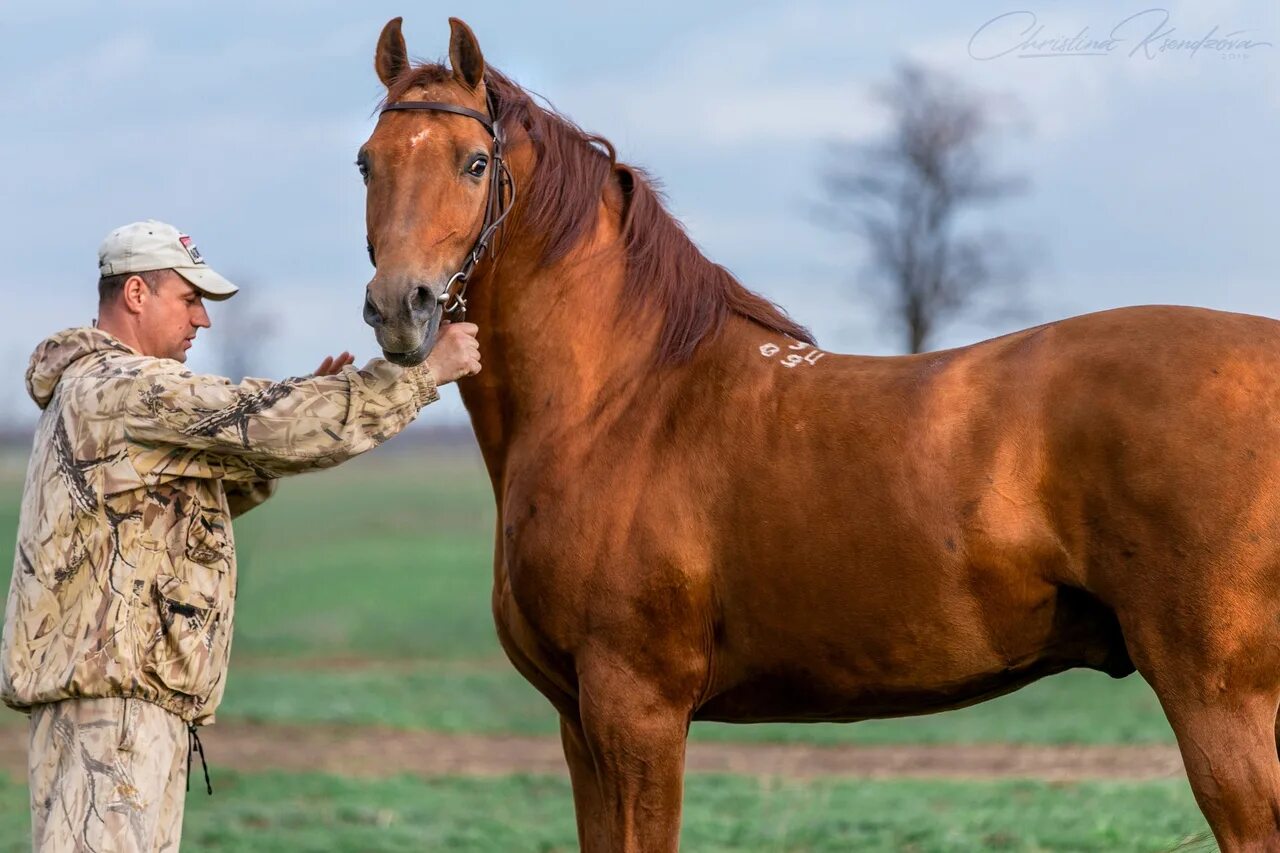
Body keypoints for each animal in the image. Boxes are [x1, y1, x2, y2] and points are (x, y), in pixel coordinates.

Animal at [358, 14, 1280, 850]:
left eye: (475, 163)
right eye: (367, 161)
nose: (401, 307)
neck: (622, 400)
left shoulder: (635, 708)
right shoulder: (577, 722)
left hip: (1219, 700)